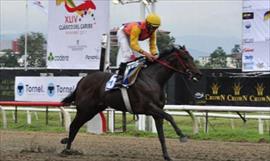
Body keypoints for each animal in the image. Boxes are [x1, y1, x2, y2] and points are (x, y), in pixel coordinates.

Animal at [60, 45, 201, 161]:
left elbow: (161, 135)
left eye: (191, 57)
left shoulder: (157, 113)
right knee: (73, 126)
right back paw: (67, 150)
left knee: (75, 126)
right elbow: (170, 116)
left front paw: (167, 156)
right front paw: (182, 136)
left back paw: (67, 146)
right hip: (85, 110)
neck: (152, 79)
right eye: (185, 58)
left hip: (93, 110)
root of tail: (83, 79)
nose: (198, 73)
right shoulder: (149, 107)